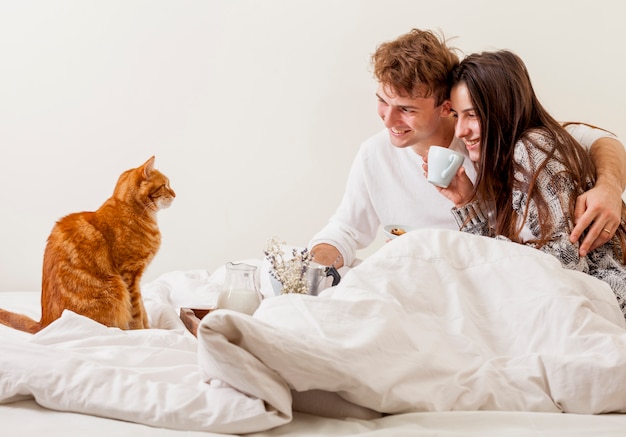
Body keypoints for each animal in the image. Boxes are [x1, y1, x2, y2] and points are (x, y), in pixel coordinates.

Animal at [0, 155, 174, 332]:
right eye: (165, 185)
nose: (175, 194)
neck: (134, 212)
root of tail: (44, 324)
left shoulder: (136, 278)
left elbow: (143, 308)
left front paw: (151, 328)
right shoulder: (129, 275)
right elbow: (136, 310)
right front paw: (140, 331)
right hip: (115, 289)